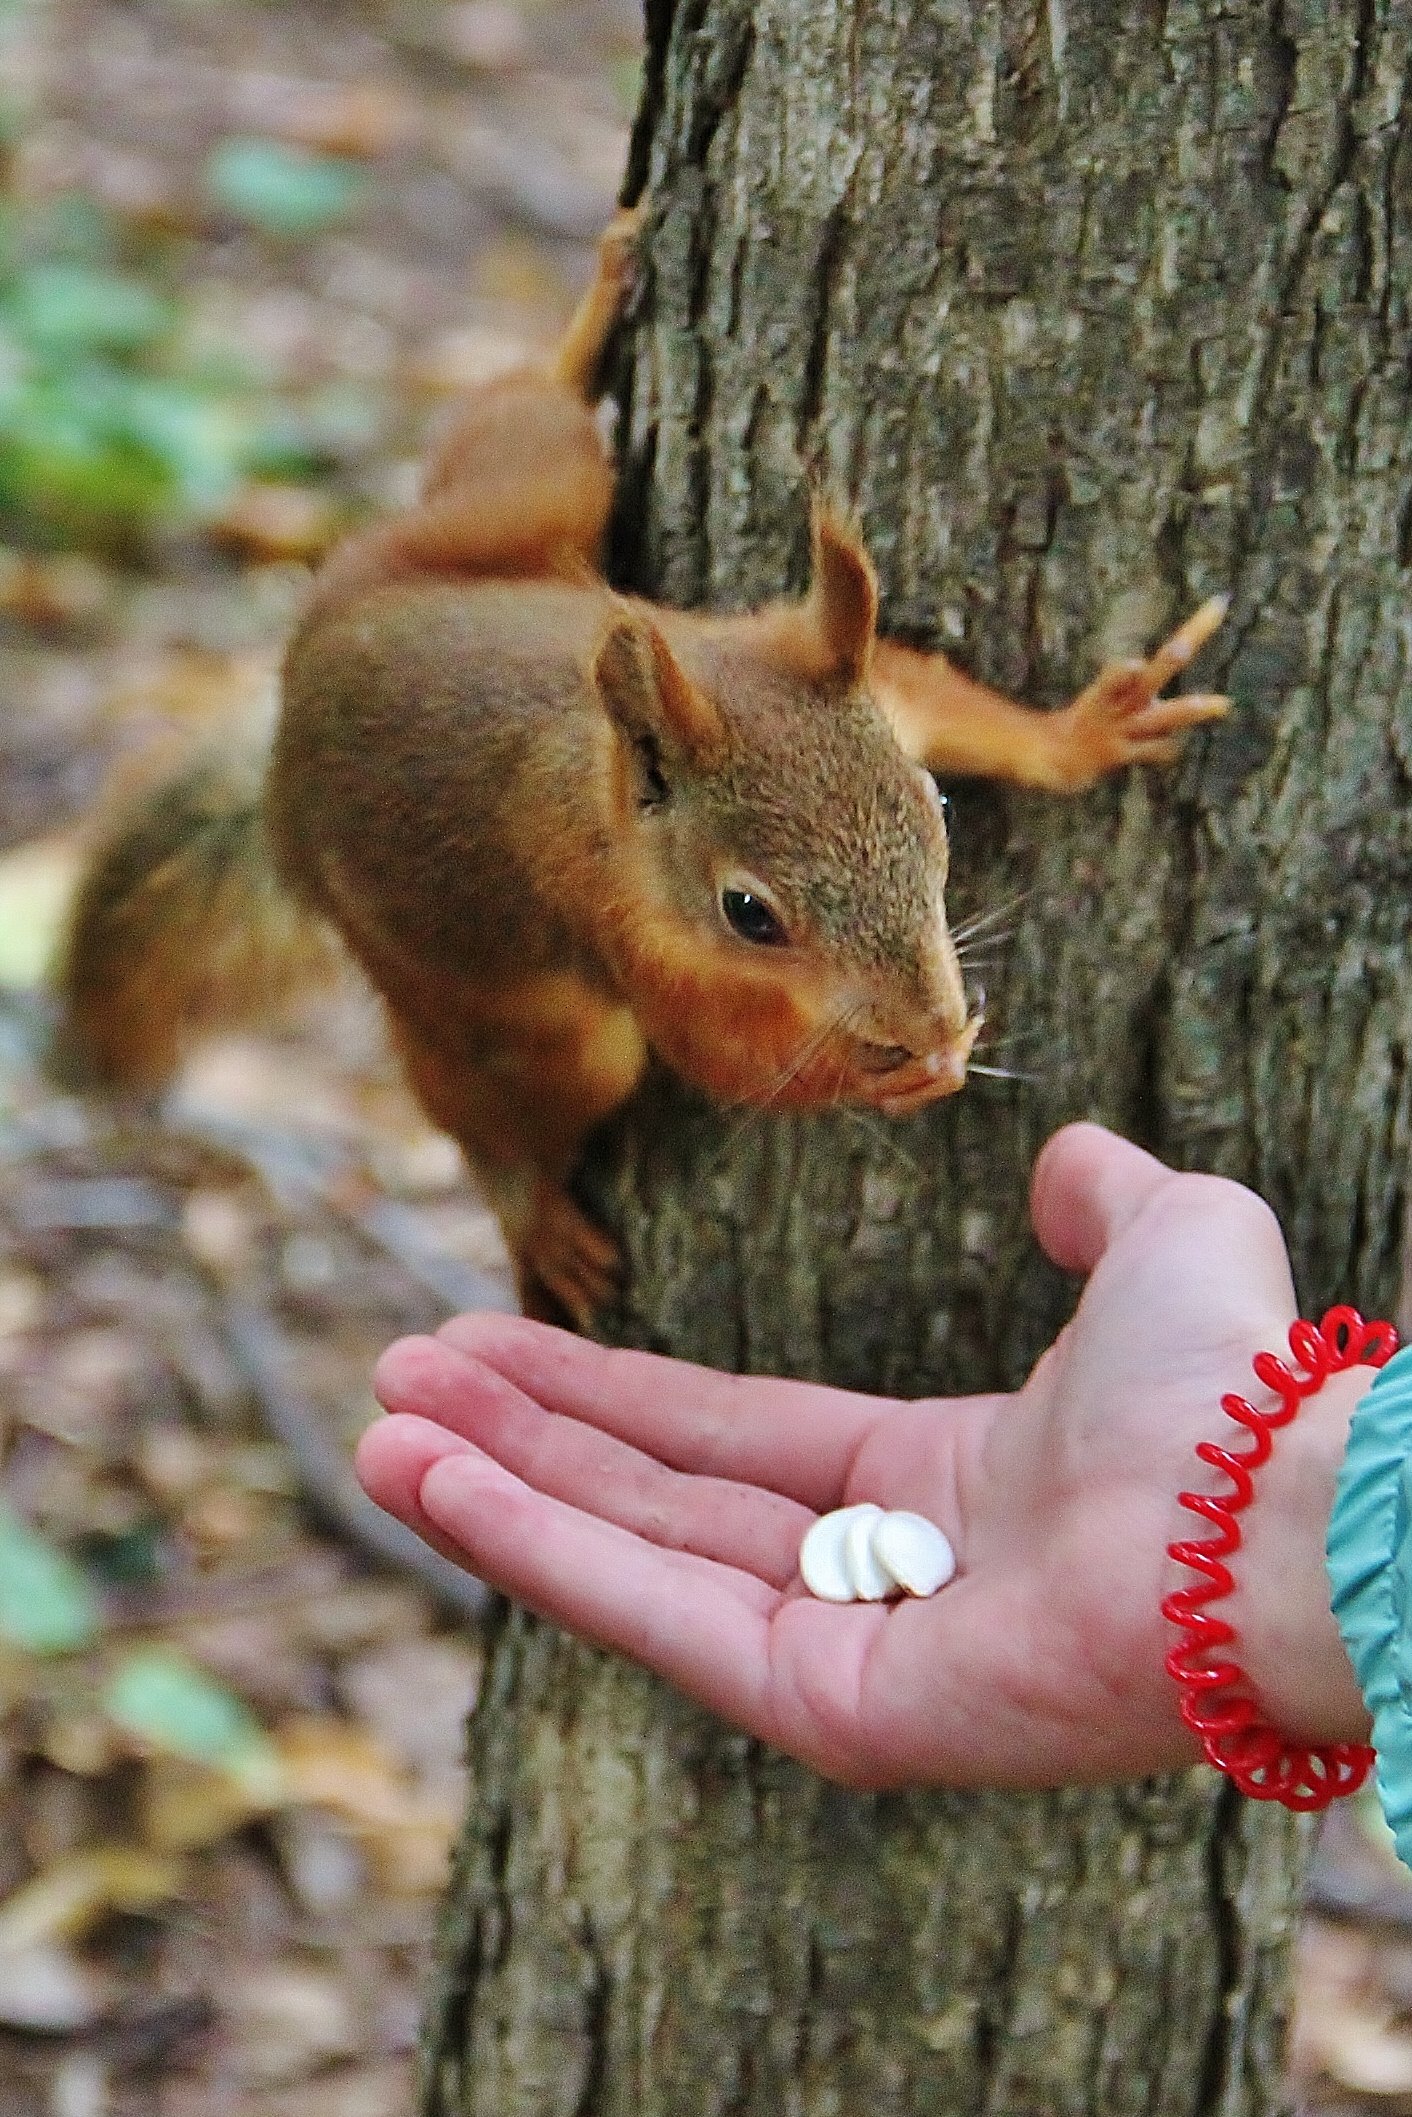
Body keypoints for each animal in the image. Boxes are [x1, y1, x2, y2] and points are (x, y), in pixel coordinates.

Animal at [57, 202, 1227, 1321]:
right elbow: (725, 1062)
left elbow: (943, 694)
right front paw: (904, 1072)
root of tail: (290, 728)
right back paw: (528, 1213)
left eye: (935, 804)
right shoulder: (621, 932)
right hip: (500, 1010)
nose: (930, 1020)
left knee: (525, 425)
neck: (614, 793)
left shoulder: (813, 659)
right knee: (486, 1106)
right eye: (749, 915)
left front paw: (1086, 731)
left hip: (508, 510)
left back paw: (590, 312)